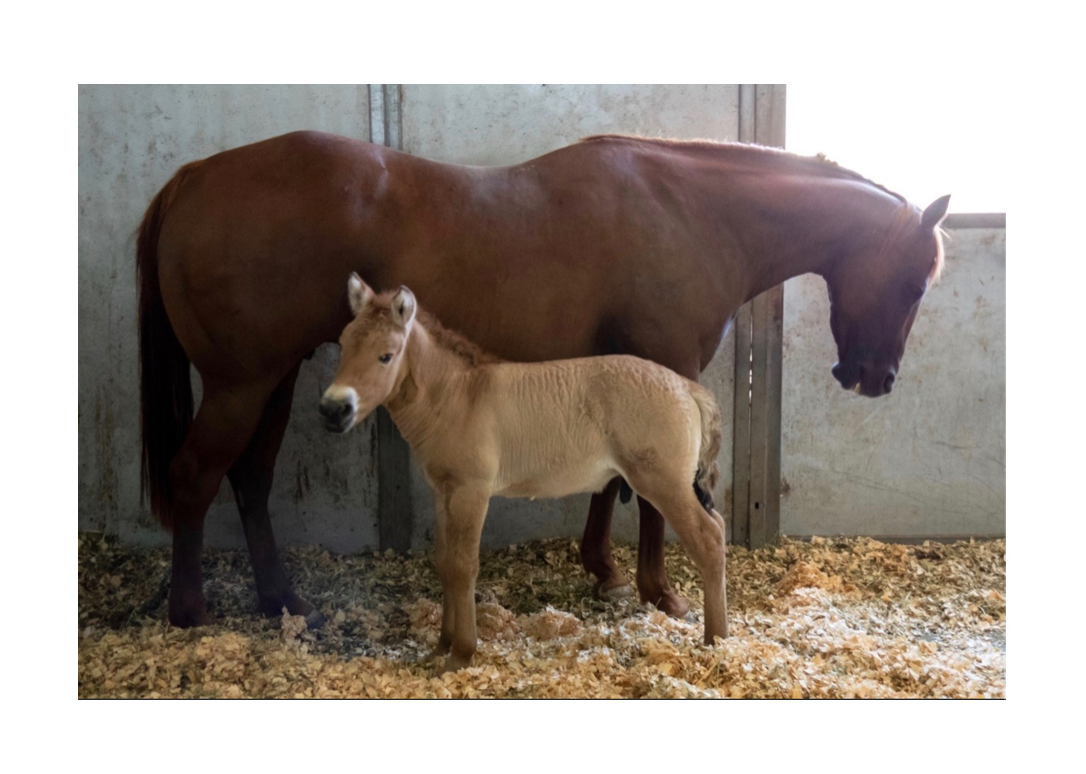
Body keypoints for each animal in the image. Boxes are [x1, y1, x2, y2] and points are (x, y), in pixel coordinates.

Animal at [136, 130, 949, 627]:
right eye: (915, 281)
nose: (874, 377)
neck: (691, 210)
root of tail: (191, 178)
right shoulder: (664, 368)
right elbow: (652, 496)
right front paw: (659, 590)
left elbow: (610, 482)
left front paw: (604, 570)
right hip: (241, 384)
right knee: (196, 476)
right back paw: (190, 611)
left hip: (272, 381)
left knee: (249, 478)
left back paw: (282, 600)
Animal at [319, 275, 728, 670]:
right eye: (343, 345)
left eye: (386, 356)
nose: (333, 409)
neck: (458, 396)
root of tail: (687, 387)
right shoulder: (443, 493)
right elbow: (445, 564)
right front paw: (440, 647)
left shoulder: (471, 492)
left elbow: (464, 567)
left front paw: (462, 653)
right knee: (719, 526)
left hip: (664, 483)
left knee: (708, 539)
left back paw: (717, 641)